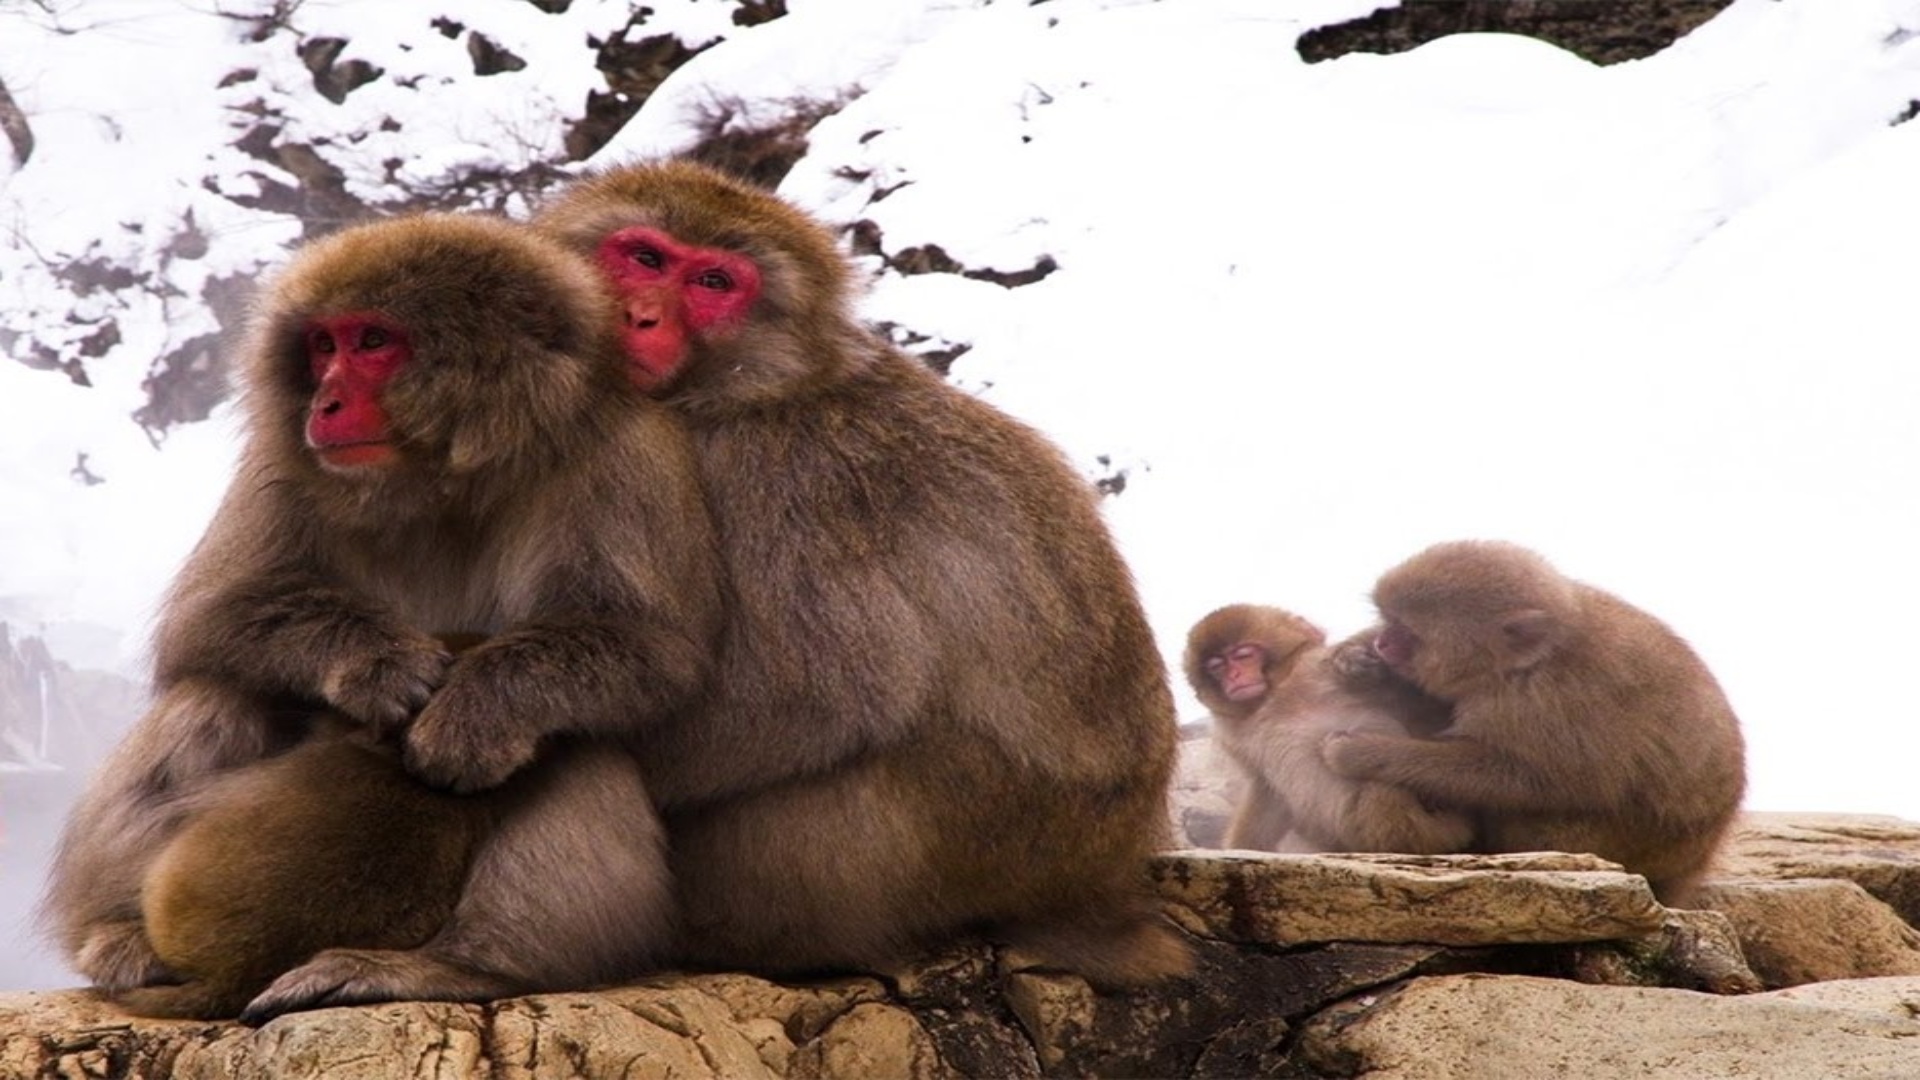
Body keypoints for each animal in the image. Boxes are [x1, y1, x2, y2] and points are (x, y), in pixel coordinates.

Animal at [43, 214, 724, 1018]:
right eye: (322, 345)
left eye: (373, 340)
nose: (325, 403)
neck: (447, 478)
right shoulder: (283, 460)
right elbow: (214, 613)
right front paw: (379, 664)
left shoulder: (629, 456)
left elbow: (647, 647)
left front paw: (477, 710)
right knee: (220, 690)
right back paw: (121, 933)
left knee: (583, 738)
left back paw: (462, 965)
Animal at [533, 159, 1189, 987]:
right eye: (646, 258)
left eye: (714, 282)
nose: (641, 316)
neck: (751, 388)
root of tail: (1106, 874)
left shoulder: (778, 478)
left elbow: (816, 695)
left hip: (975, 837)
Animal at [1183, 604, 1471, 855]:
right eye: (1217, 666)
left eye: (1243, 655)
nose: (1234, 677)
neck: (1275, 696)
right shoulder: (1232, 736)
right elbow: (1268, 791)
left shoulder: (1316, 668)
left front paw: (1349, 658)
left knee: (1380, 790)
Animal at [1321, 540, 1746, 906]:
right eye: (1388, 619)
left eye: (1409, 634)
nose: (1383, 643)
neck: (1529, 663)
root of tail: (1693, 862)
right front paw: (1356, 658)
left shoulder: (1547, 706)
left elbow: (1536, 781)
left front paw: (1361, 752)